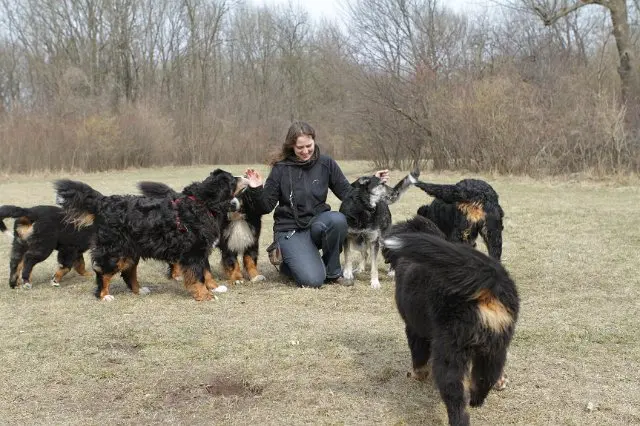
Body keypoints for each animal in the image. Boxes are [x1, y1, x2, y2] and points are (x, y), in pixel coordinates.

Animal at [54, 168, 245, 302]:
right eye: (232, 180)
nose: (243, 176)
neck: (203, 204)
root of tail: (103, 202)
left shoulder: (201, 249)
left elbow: (206, 271)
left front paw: (214, 287)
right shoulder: (193, 251)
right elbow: (197, 276)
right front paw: (205, 295)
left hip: (130, 251)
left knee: (128, 273)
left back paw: (139, 290)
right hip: (115, 251)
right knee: (104, 273)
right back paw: (104, 295)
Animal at [382, 216, 516, 426]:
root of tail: (489, 280)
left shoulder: (414, 329)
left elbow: (418, 358)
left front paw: (418, 375)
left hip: (450, 351)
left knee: (455, 397)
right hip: (496, 345)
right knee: (488, 375)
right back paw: (479, 396)